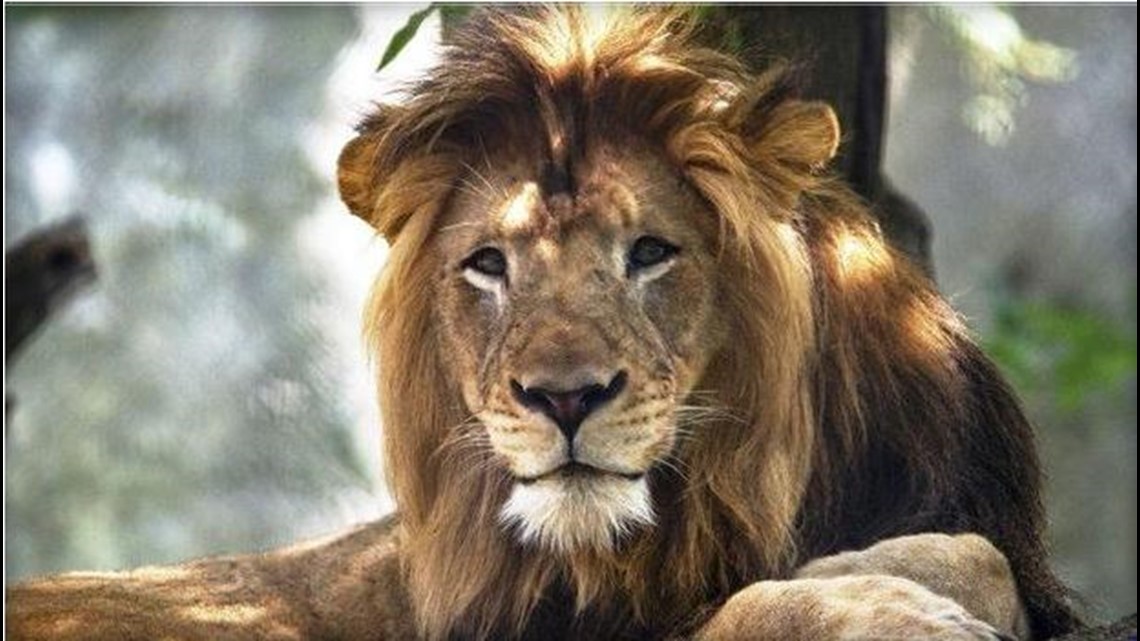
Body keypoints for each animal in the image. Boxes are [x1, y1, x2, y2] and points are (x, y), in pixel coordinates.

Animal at [6, 6, 1080, 641]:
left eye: (650, 251)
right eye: (489, 263)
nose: (563, 398)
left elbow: (971, 551)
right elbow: (742, 612)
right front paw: (879, 607)